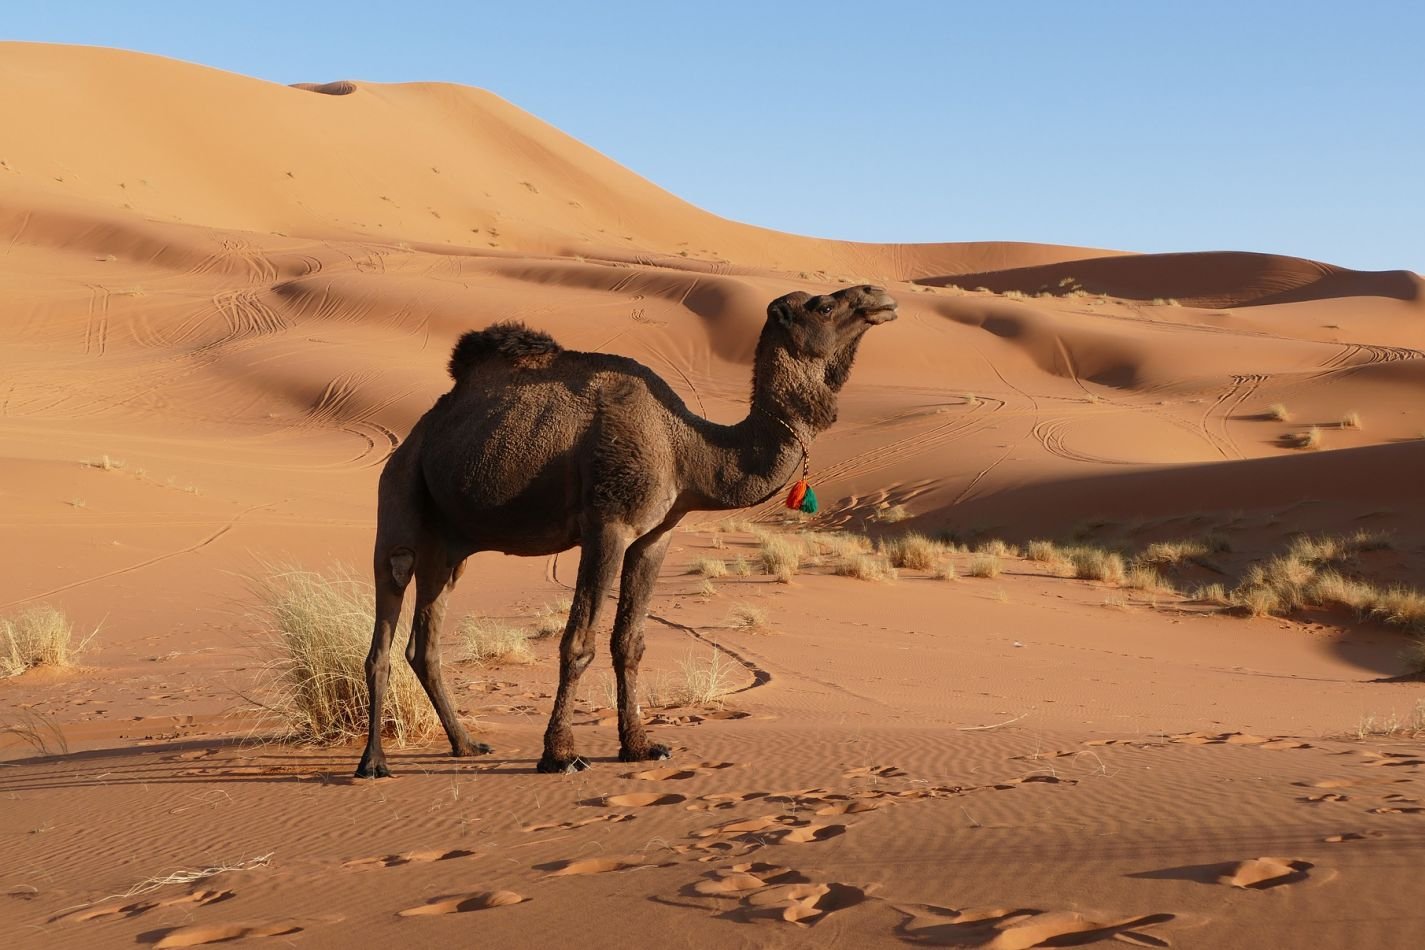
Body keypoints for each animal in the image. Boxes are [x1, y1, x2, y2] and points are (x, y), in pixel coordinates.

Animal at [356, 286, 894, 774]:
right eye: (825, 305)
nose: (880, 297)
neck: (688, 448)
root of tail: (416, 434)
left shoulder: (654, 537)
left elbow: (629, 643)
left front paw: (640, 746)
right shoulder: (608, 526)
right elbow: (579, 642)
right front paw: (560, 755)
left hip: (450, 547)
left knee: (424, 643)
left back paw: (466, 745)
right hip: (400, 495)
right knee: (386, 615)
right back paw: (373, 762)